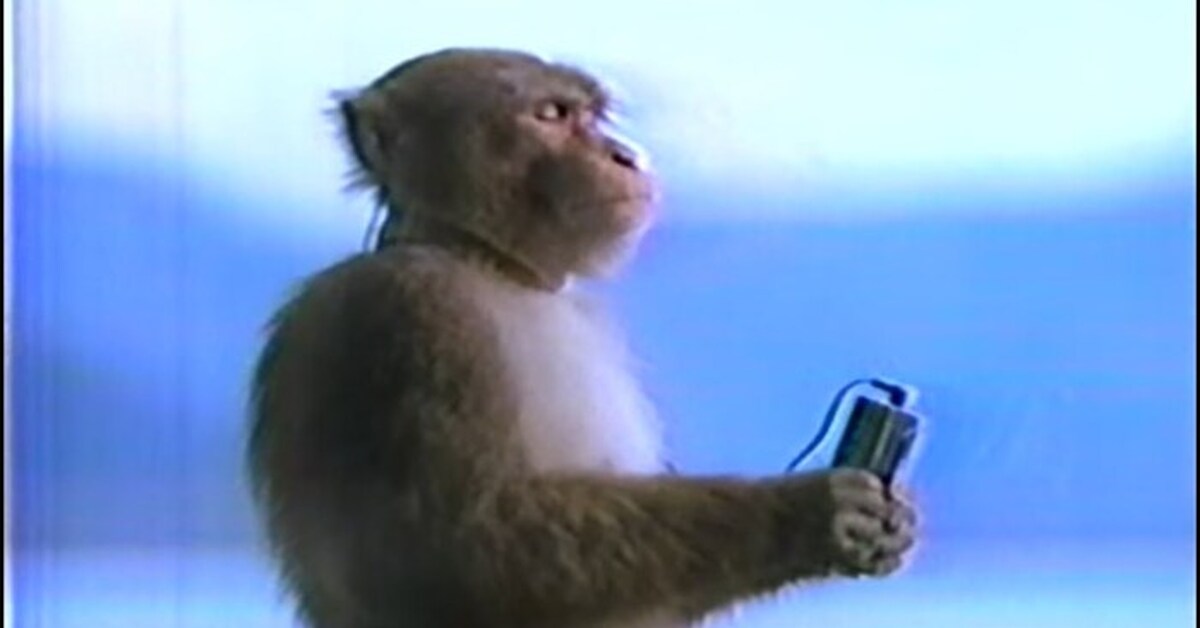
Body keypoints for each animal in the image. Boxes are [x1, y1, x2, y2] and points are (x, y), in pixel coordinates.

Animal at [247, 48, 917, 628]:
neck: (490, 264)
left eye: (592, 115)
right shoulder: (412, 311)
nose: (623, 156)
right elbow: (453, 554)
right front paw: (812, 514)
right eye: (550, 115)